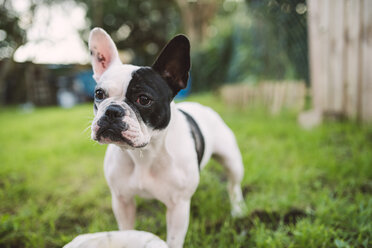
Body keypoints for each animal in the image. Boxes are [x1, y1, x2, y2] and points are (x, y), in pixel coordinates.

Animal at [88, 27, 246, 248]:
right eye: (99, 94)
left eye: (144, 99)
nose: (112, 110)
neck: (144, 154)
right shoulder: (122, 200)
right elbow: (126, 231)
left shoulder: (178, 207)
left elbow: (173, 240)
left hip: (232, 161)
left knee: (233, 185)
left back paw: (238, 209)